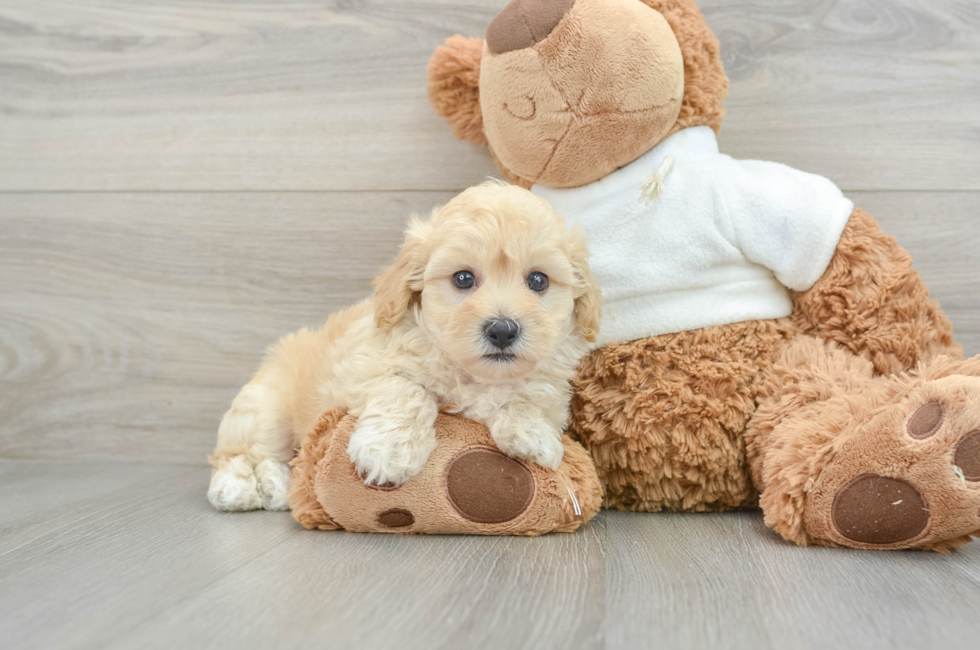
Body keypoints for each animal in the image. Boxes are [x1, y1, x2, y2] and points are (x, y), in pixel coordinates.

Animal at [211, 181, 600, 512]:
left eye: (538, 280)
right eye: (463, 278)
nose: (503, 330)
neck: (473, 375)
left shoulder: (550, 383)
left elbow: (533, 396)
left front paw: (533, 434)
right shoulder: (362, 365)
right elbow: (406, 390)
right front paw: (389, 451)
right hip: (266, 409)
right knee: (243, 452)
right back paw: (245, 486)